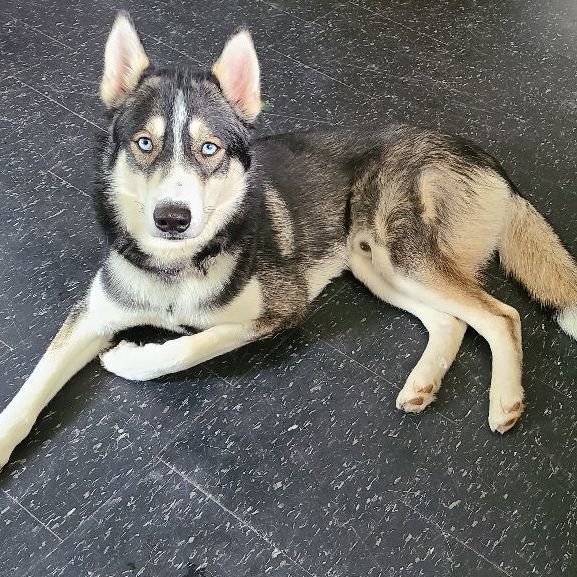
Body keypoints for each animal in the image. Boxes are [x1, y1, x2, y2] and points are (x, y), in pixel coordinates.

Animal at [1, 10, 576, 468]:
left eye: (209, 149)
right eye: (145, 143)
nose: (172, 218)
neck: (176, 265)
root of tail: (487, 159)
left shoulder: (279, 311)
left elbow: (191, 346)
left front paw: (132, 359)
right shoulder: (91, 317)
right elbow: (30, 390)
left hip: (402, 252)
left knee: (501, 315)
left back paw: (505, 401)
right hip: (375, 266)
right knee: (452, 322)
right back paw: (423, 383)